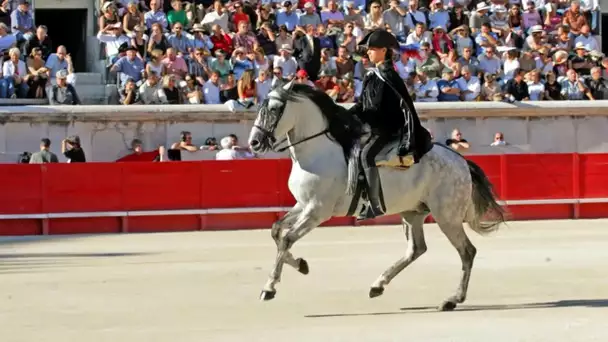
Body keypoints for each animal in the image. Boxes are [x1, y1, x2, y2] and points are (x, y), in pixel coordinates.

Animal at [246, 82, 504, 310]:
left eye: (274, 109)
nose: (254, 143)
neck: (316, 152)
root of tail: (460, 161)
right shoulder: (303, 205)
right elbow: (276, 231)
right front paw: (301, 265)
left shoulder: (317, 211)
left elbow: (287, 238)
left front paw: (269, 287)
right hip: (413, 212)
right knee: (416, 249)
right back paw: (378, 285)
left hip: (447, 216)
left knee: (467, 252)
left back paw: (452, 300)